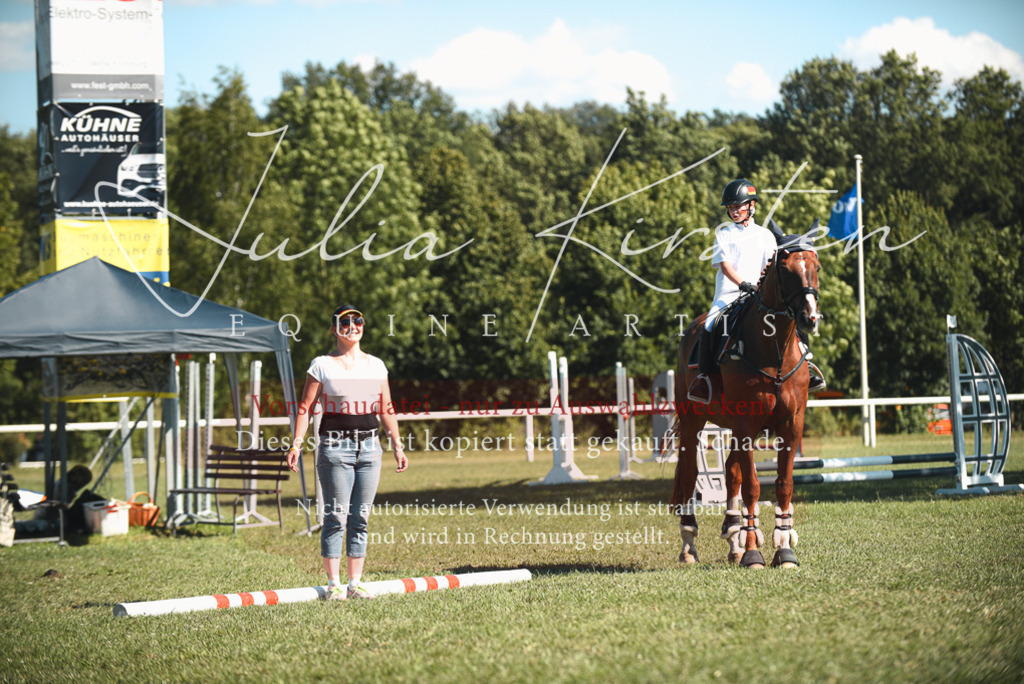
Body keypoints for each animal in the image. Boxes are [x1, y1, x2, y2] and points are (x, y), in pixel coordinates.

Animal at [670, 224, 822, 568]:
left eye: (816, 267)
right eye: (785, 269)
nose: (810, 318)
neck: (774, 352)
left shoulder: (791, 426)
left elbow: (783, 484)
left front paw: (783, 549)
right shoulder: (747, 425)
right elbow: (753, 486)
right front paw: (754, 552)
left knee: (731, 471)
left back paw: (733, 538)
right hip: (694, 421)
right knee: (691, 473)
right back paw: (690, 544)